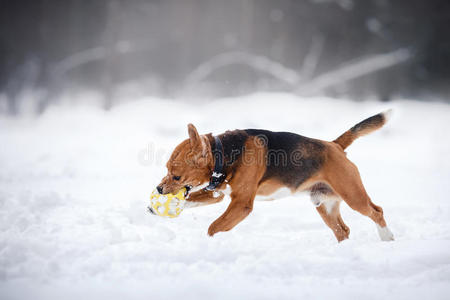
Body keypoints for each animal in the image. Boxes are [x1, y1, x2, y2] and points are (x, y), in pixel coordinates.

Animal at [157, 111, 394, 243]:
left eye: (176, 177)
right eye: (166, 169)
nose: (159, 189)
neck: (224, 152)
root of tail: (334, 145)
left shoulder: (241, 204)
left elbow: (213, 227)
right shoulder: (218, 193)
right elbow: (190, 200)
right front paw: (165, 206)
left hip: (353, 195)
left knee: (377, 211)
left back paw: (387, 237)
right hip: (324, 204)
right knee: (343, 230)